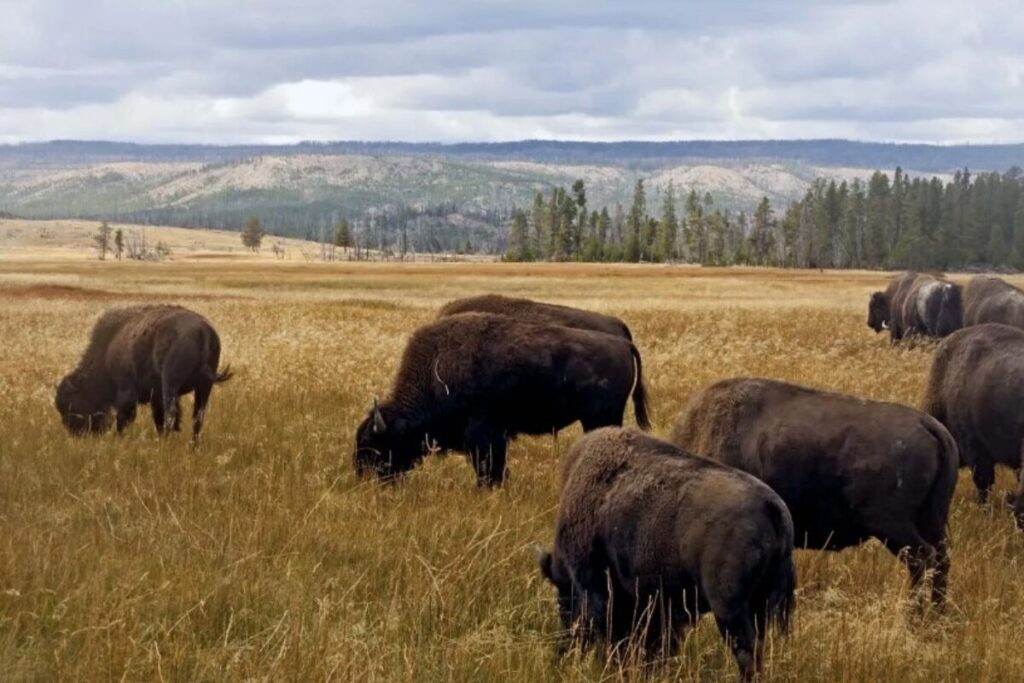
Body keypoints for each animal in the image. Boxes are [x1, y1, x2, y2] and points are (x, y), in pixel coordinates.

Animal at [55, 304, 232, 441]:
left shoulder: (126, 390)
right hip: (204, 386)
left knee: (171, 414)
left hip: (170, 382)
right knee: (197, 417)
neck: (108, 348)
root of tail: (203, 331)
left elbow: (124, 418)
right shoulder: (155, 397)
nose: (77, 434)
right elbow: (157, 418)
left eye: (72, 405)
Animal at [353, 312, 650, 486]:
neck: (436, 370)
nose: (365, 479)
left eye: (377, 444)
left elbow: (489, 467)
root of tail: (623, 343)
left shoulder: (484, 434)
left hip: (600, 418)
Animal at [537, 427, 794, 681]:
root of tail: (771, 506)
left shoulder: (599, 589)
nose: (563, 646)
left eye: (563, 595)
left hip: (730, 609)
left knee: (746, 651)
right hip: (759, 604)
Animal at [671, 377, 957, 607]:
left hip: (893, 527)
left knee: (923, 560)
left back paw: (914, 616)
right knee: (941, 561)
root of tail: (929, 425)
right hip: (931, 521)